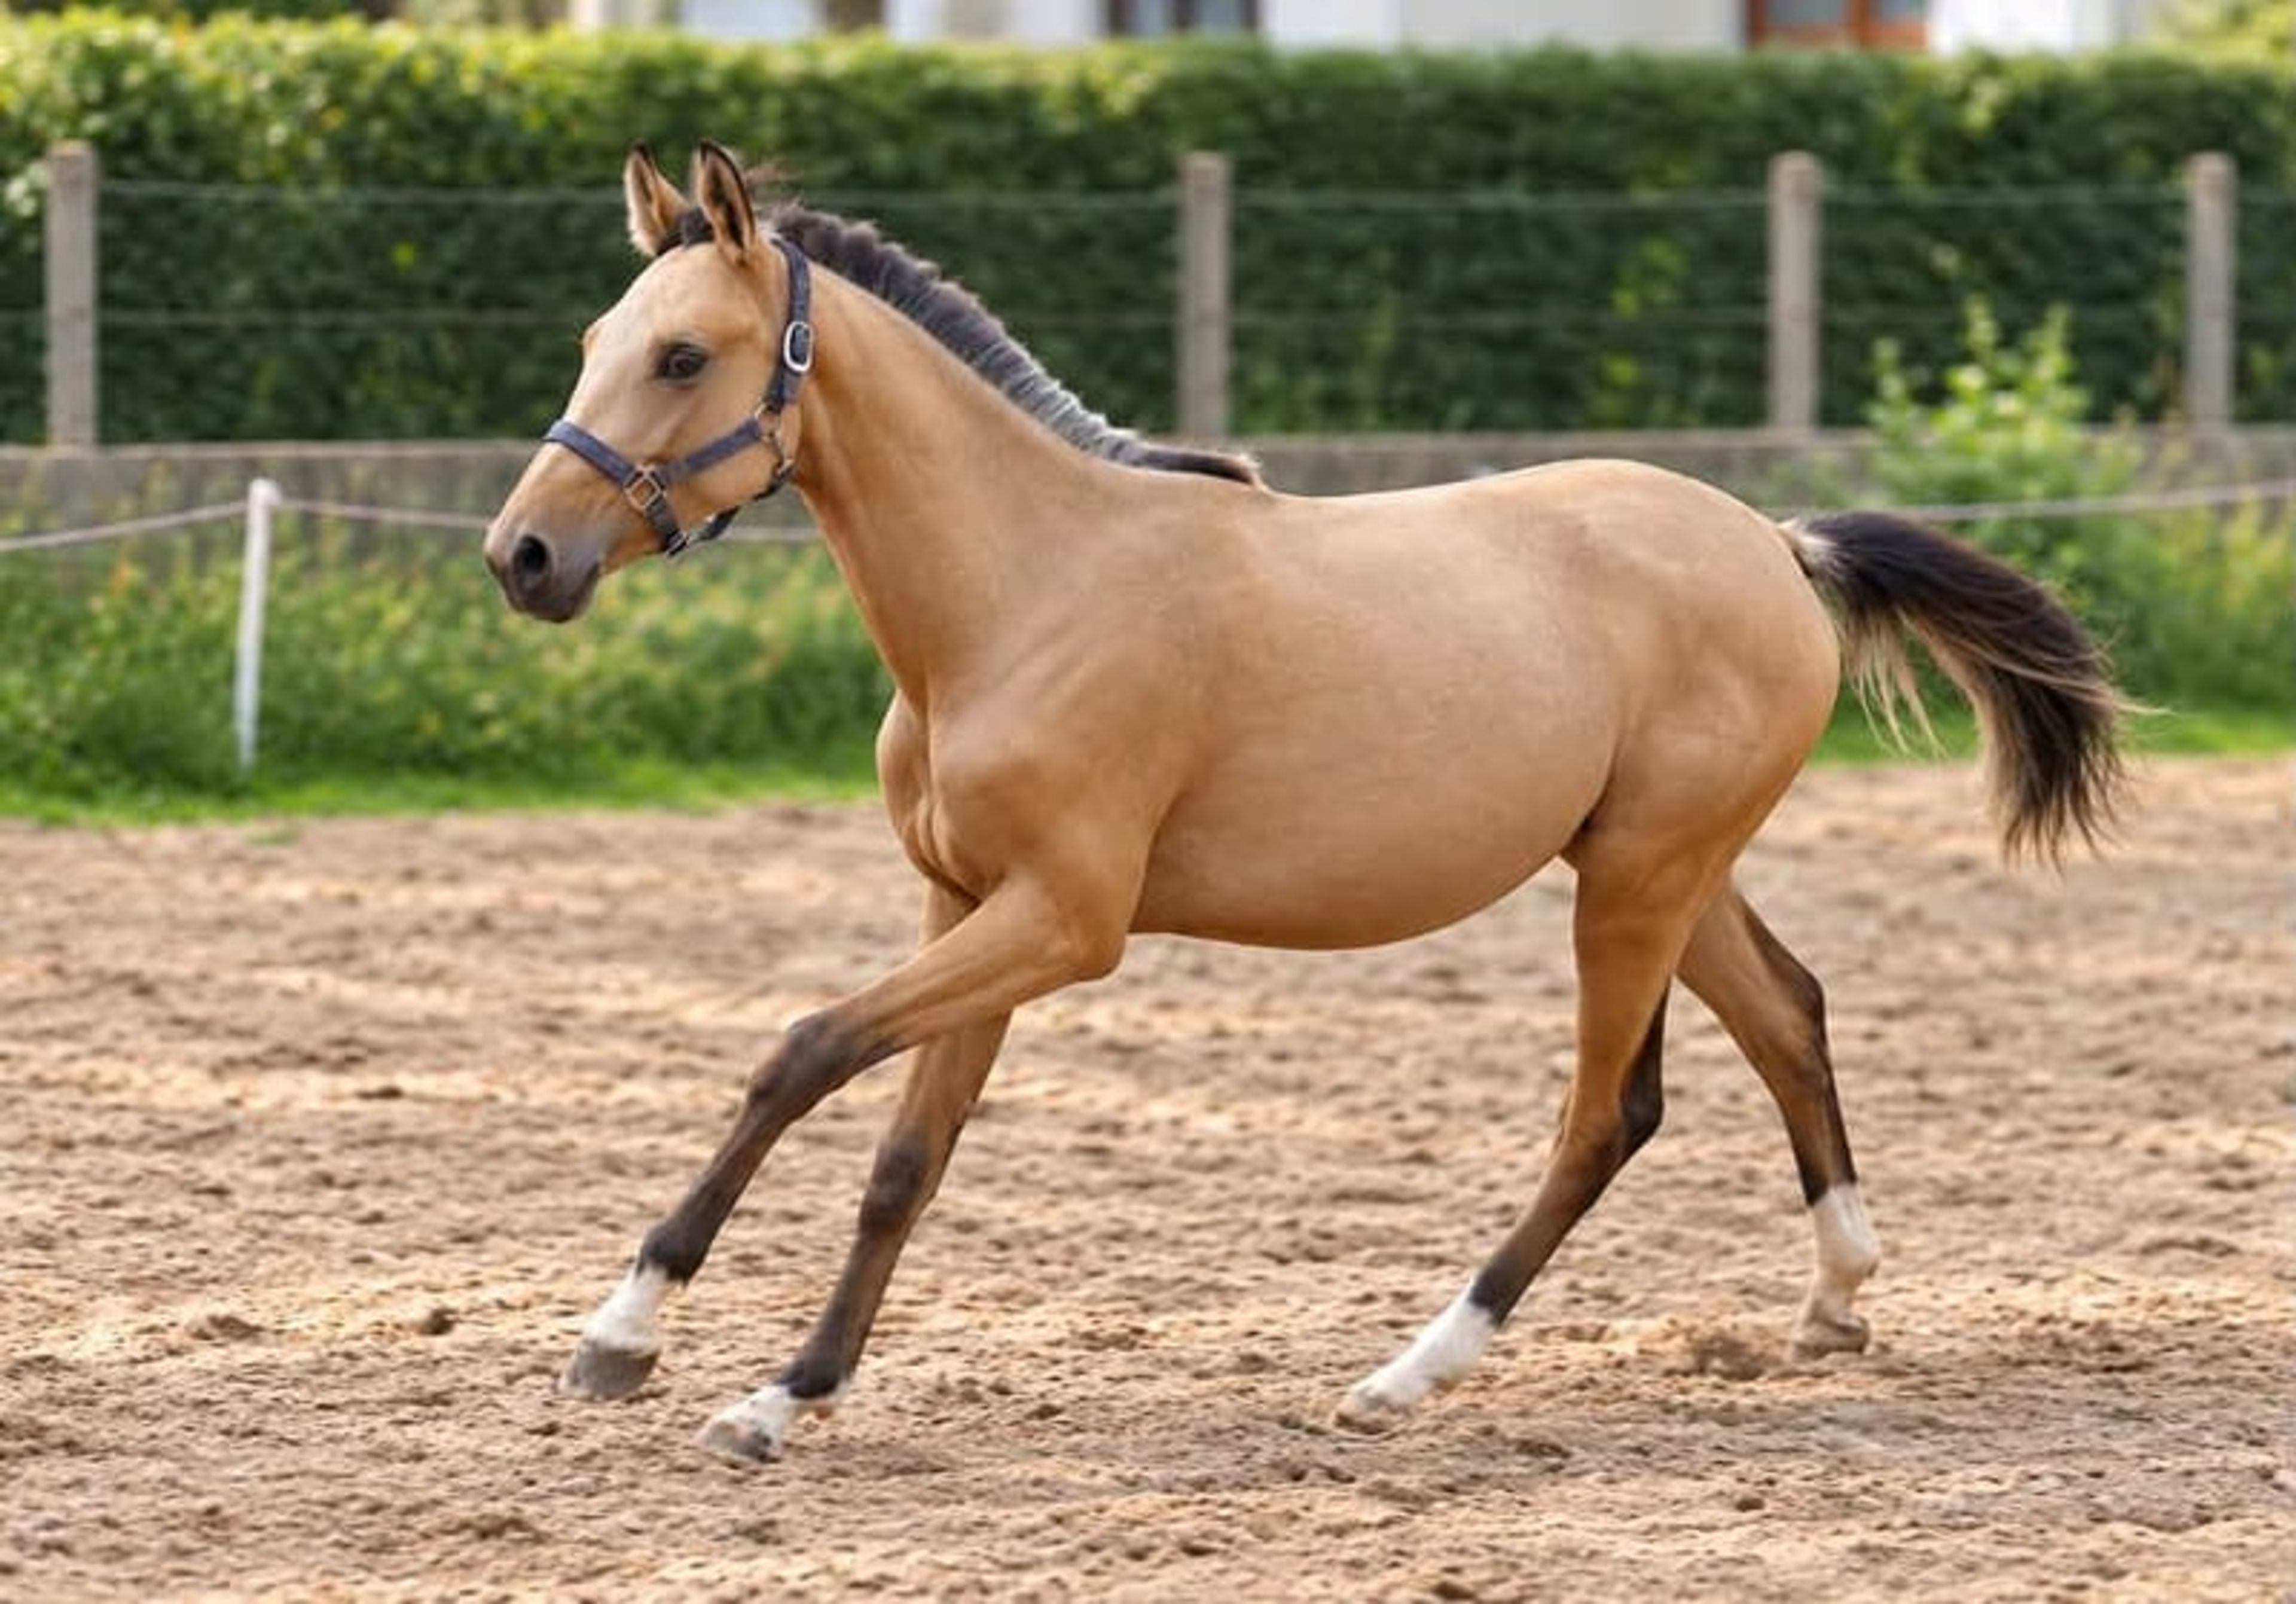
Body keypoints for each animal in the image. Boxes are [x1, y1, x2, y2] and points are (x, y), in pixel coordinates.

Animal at [483, 142, 2124, 1464]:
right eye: (595, 341)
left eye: (683, 357)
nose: (523, 559)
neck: (1026, 590)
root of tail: (1778, 546)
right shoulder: (967, 908)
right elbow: (903, 1161)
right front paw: (778, 1392)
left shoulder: (1063, 922)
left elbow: (800, 1051)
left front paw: (632, 1340)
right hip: (1660, 868)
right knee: (1788, 1015)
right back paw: (1834, 1302)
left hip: (1639, 881)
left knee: (1610, 1111)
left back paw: (1407, 1376)